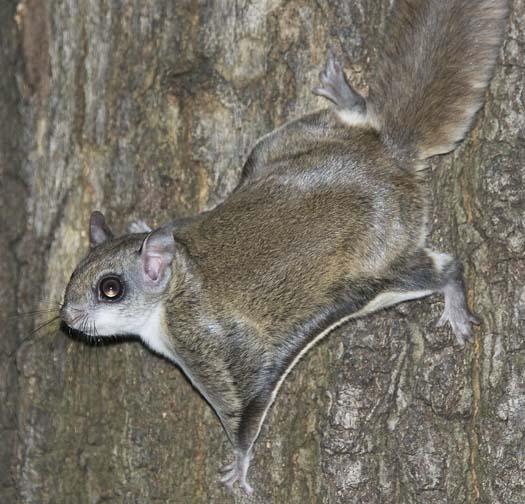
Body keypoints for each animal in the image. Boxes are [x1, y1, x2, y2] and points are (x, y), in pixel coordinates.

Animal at [59, 0, 506, 496]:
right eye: (74, 273)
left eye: (110, 289)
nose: (67, 317)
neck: (178, 279)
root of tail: (391, 156)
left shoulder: (215, 348)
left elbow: (245, 407)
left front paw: (238, 465)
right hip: (279, 146)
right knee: (355, 118)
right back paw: (344, 95)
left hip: (380, 268)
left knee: (445, 267)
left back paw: (456, 308)